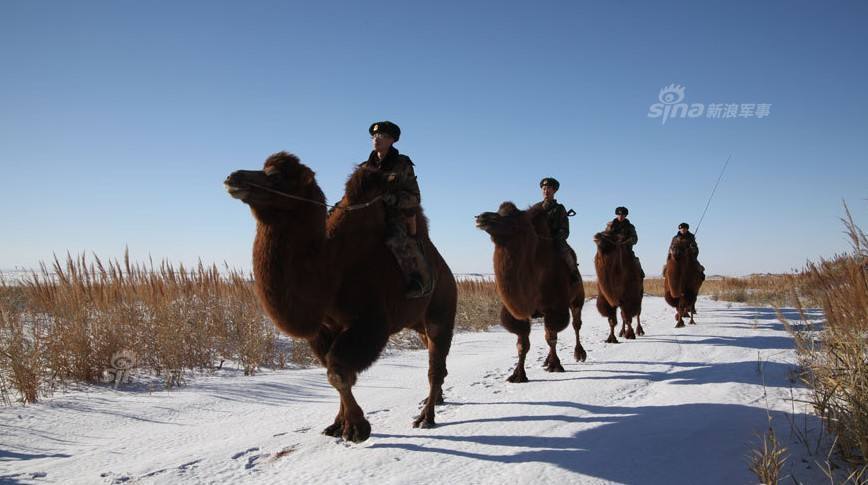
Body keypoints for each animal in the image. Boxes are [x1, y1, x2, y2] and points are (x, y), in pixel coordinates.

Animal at [224, 152, 458, 442]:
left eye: (276, 176)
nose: (233, 177)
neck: (330, 268)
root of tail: (446, 272)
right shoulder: (324, 328)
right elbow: (334, 372)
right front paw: (338, 425)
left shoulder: (369, 323)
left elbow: (338, 373)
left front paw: (358, 428)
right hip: (418, 322)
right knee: (436, 360)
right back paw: (433, 402)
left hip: (441, 311)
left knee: (434, 367)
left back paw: (426, 417)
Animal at [474, 200, 588, 382]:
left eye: (511, 218)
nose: (481, 217)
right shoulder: (518, 313)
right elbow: (523, 344)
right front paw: (518, 374)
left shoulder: (554, 308)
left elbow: (552, 338)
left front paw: (555, 366)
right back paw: (547, 360)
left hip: (577, 298)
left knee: (576, 324)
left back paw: (579, 354)